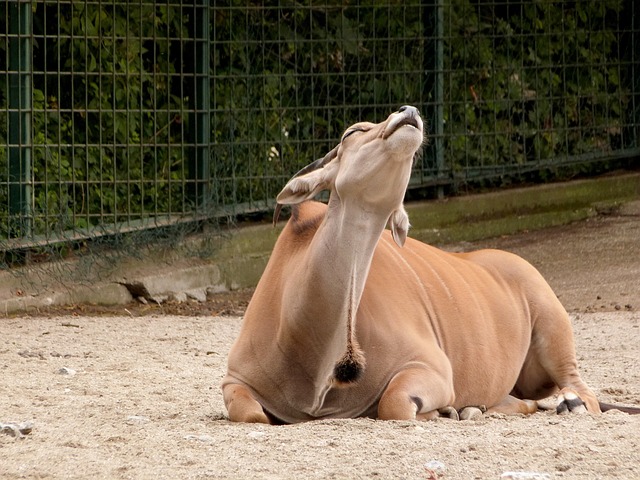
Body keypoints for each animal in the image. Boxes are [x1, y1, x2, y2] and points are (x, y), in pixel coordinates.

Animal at [221, 106, 636, 424]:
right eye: (353, 131)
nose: (409, 113)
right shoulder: (234, 381)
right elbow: (252, 413)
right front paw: (454, 410)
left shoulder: (431, 369)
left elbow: (393, 405)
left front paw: (442, 411)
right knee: (524, 401)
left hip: (555, 331)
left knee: (582, 391)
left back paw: (566, 402)